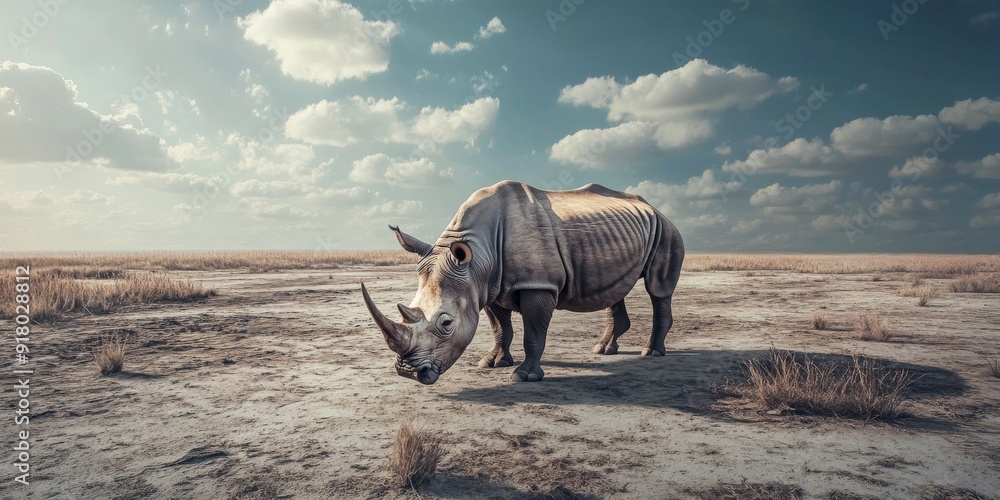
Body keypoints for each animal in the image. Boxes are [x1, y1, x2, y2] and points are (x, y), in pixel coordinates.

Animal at [361, 181, 684, 384]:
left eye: (446, 323)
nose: (407, 373)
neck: (478, 256)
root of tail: (656, 209)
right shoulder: (486, 286)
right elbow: (500, 329)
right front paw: (493, 362)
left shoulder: (537, 283)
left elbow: (533, 332)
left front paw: (525, 375)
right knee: (615, 288)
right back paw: (603, 349)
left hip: (666, 230)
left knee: (657, 289)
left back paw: (651, 352)